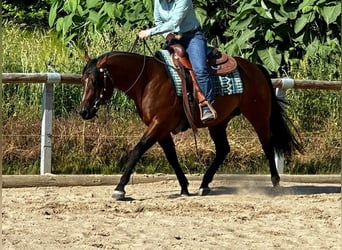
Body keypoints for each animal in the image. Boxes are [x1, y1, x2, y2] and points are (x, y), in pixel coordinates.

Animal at [79, 49, 300, 200]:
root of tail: (256, 68)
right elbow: (171, 157)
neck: (148, 80)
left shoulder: (158, 124)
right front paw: (184, 187)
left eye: (96, 81)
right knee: (223, 149)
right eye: (83, 80)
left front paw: (120, 188)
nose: (84, 111)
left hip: (258, 115)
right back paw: (204, 185)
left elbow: (137, 150)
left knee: (267, 144)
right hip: (218, 122)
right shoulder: (161, 129)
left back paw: (275, 182)